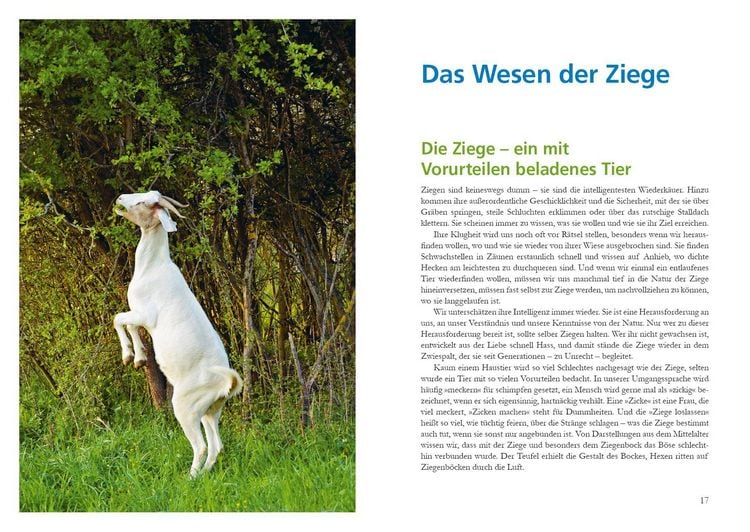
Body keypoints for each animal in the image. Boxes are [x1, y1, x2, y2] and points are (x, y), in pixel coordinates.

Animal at [113, 190, 242, 477]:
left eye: (143, 202)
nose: (120, 199)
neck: (154, 267)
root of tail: (226, 385)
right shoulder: (141, 317)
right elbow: (130, 326)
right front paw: (139, 358)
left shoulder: (145, 315)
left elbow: (119, 319)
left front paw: (128, 356)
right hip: (210, 411)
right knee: (216, 445)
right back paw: (204, 475)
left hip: (185, 407)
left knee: (202, 446)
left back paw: (190, 478)